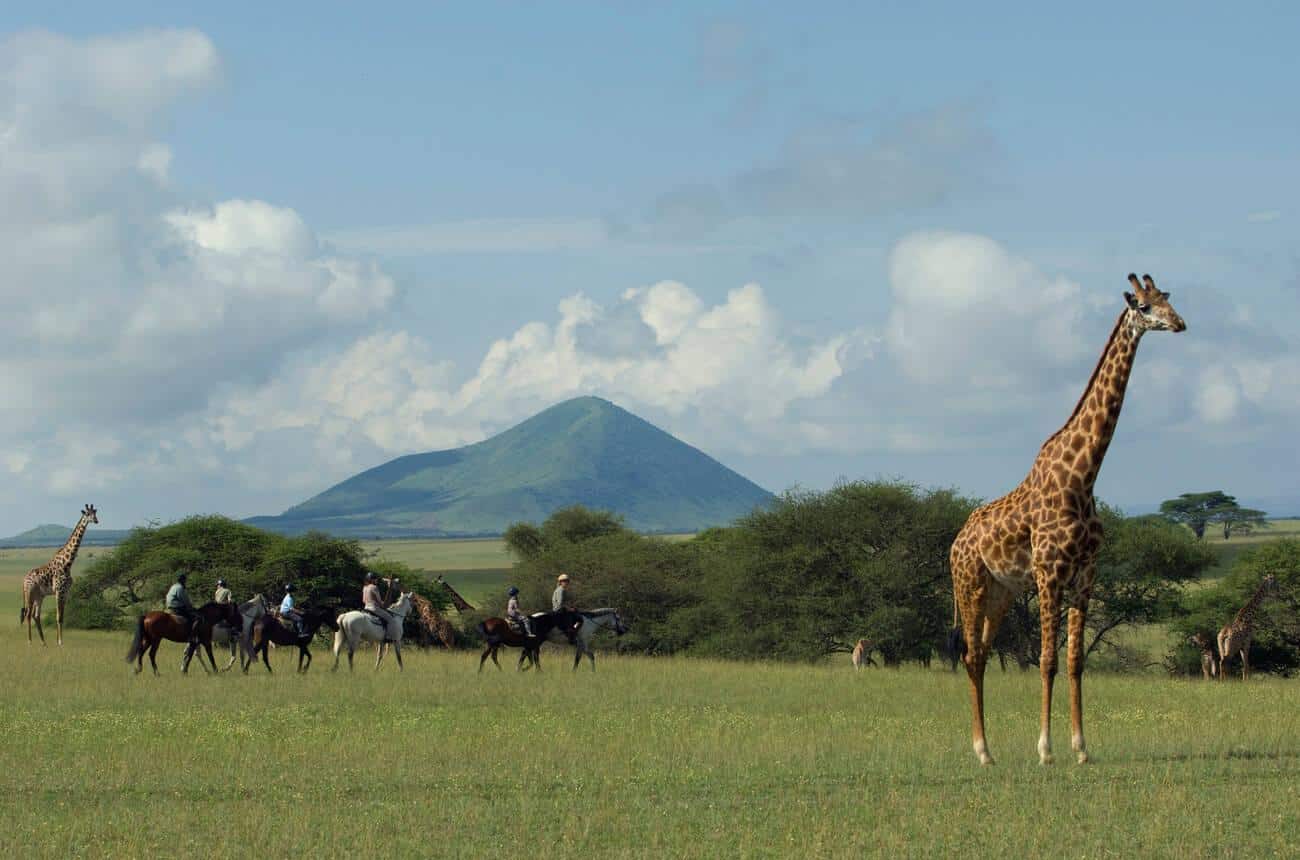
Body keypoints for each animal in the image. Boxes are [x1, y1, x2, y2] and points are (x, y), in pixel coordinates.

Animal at [19, 506, 97, 646]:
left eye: (95, 513)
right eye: (88, 514)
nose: (96, 520)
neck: (67, 563)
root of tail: (24, 579)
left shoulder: (65, 592)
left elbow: (62, 617)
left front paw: (58, 641)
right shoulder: (59, 591)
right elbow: (58, 616)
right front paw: (60, 642)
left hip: (39, 596)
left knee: (35, 615)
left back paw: (44, 643)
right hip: (29, 593)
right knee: (28, 614)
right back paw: (30, 642)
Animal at [951, 276, 1185, 769]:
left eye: (1168, 299)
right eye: (1144, 305)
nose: (1179, 324)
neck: (1084, 476)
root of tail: (955, 541)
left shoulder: (1086, 575)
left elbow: (1076, 660)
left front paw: (1081, 747)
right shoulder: (1049, 573)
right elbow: (1047, 660)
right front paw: (1045, 749)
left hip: (1001, 592)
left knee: (981, 654)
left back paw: (990, 751)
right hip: (971, 585)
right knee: (970, 654)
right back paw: (981, 751)